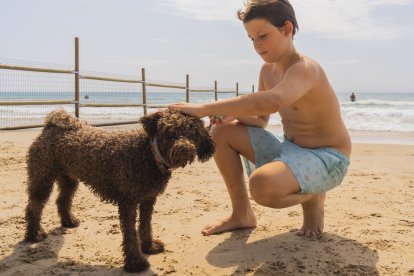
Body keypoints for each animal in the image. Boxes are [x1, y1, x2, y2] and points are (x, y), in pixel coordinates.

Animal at [23, 109, 215, 272]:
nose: (184, 148)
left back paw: (68, 221)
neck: (148, 153)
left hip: (69, 179)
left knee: (62, 200)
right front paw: (135, 263)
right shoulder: (128, 203)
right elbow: (130, 234)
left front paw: (149, 247)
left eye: (193, 133)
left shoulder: (148, 199)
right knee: (33, 206)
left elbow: (145, 225)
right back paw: (34, 235)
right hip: (42, 178)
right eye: (169, 131)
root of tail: (50, 127)